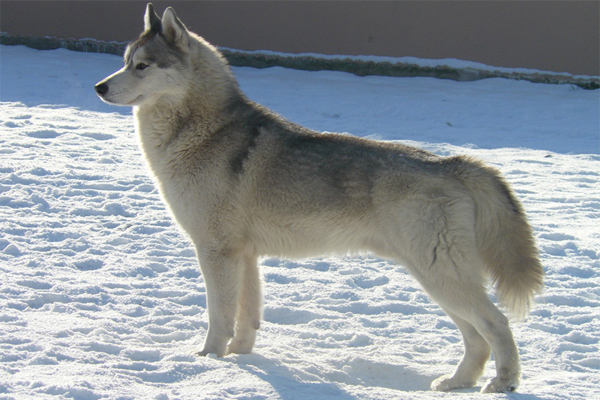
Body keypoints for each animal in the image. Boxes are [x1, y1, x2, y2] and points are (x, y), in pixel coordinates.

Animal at [95, 3, 544, 394]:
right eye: (125, 61)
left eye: (142, 66)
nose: (99, 87)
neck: (201, 132)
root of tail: (452, 163)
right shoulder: (245, 254)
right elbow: (247, 320)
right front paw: (240, 362)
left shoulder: (216, 251)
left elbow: (219, 317)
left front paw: (208, 362)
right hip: (436, 280)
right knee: (477, 338)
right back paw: (456, 383)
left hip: (441, 278)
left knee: (498, 325)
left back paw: (503, 383)